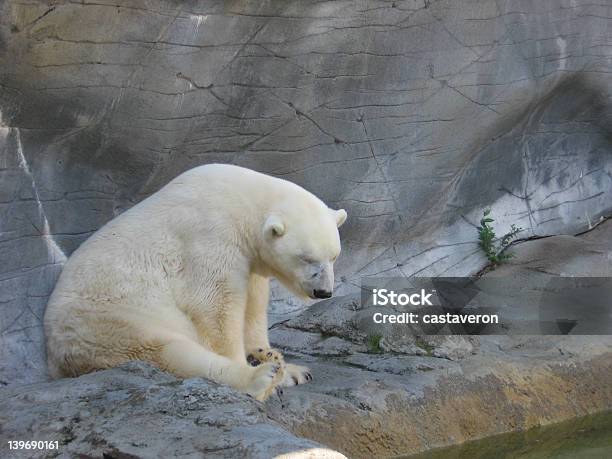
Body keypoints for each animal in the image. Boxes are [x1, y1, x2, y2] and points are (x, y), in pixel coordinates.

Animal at [44, 164, 346, 400]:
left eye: (333, 256)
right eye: (306, 258)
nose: (323, 292)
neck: (242, 201)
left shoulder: (249, 258)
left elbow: (254, 308)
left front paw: (285, 364)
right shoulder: (212, 236)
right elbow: (216, 306)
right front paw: (256, 362)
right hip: (109, 321)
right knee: (168, 351)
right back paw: (259, 377)